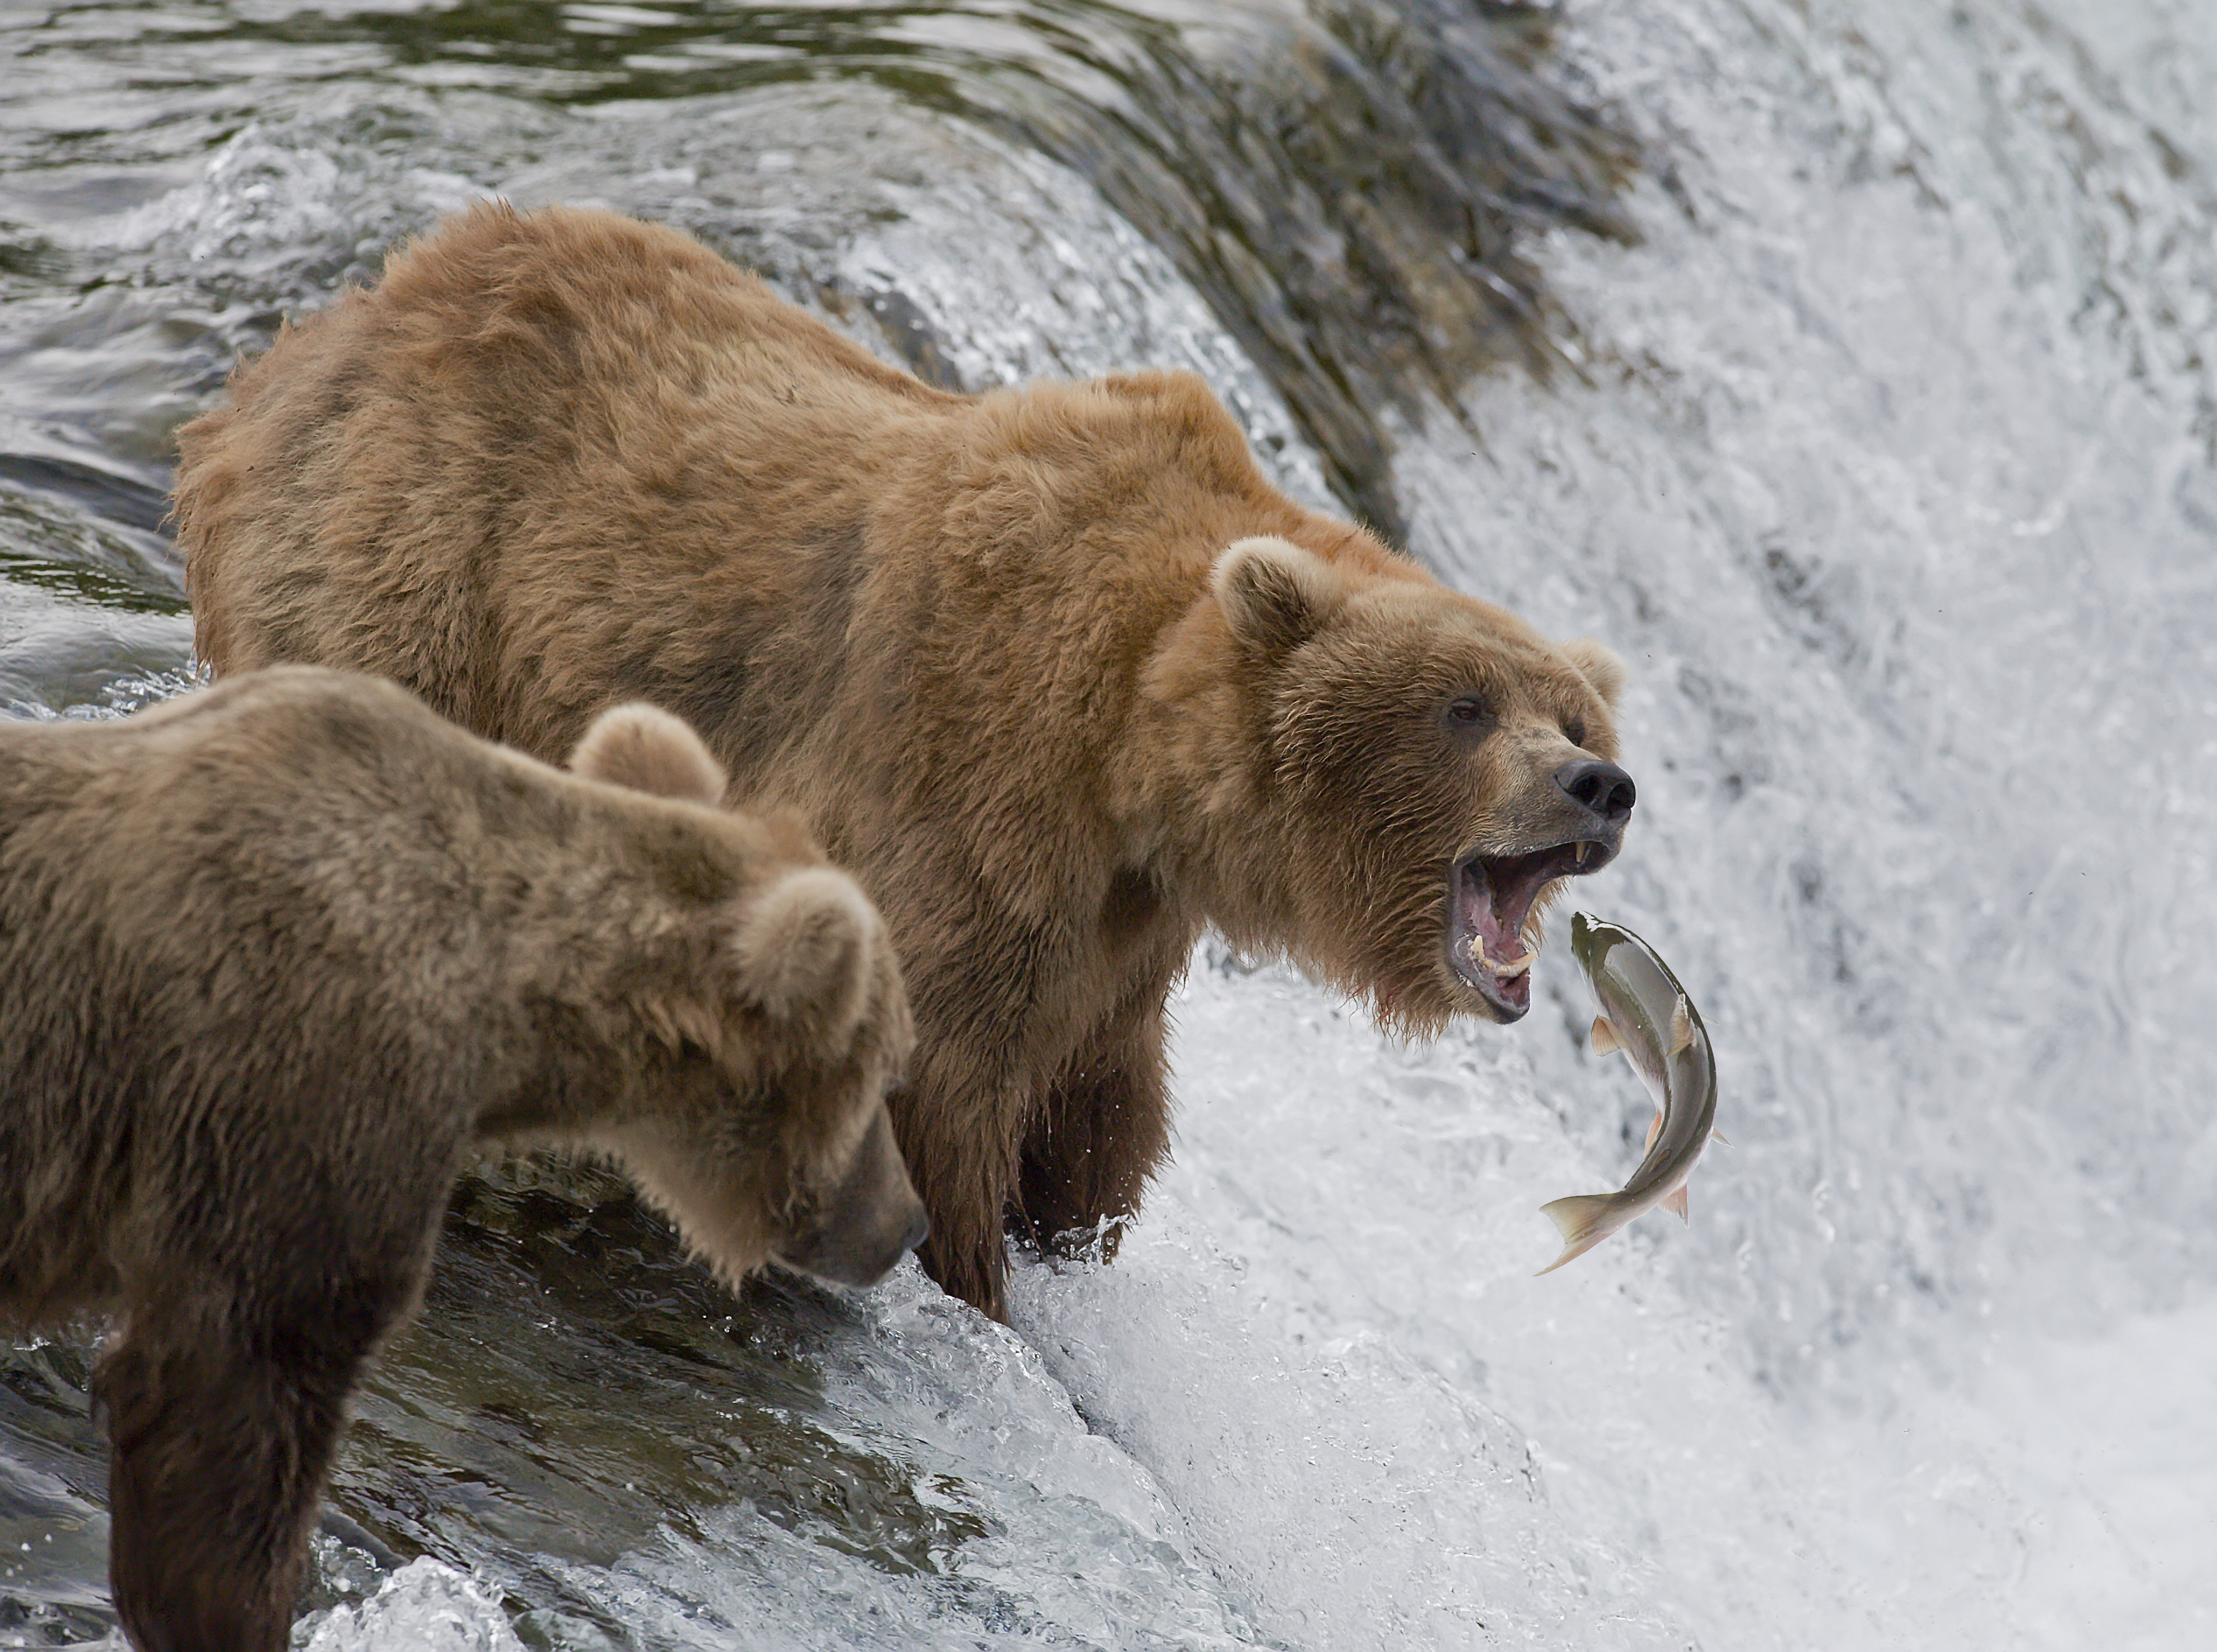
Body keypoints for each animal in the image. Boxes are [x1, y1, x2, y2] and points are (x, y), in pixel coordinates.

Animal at [172, 202, 1637, 1321]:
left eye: (1571, 715)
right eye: (1465, 705)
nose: (1599, 787)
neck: (1136, 755)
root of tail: (311, 337)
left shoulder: (1120, 932)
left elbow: (1098, 1116)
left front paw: (1061, 1236)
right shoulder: (971, 775)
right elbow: (946, 1078)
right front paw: (977, 1280)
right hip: (413, 569)